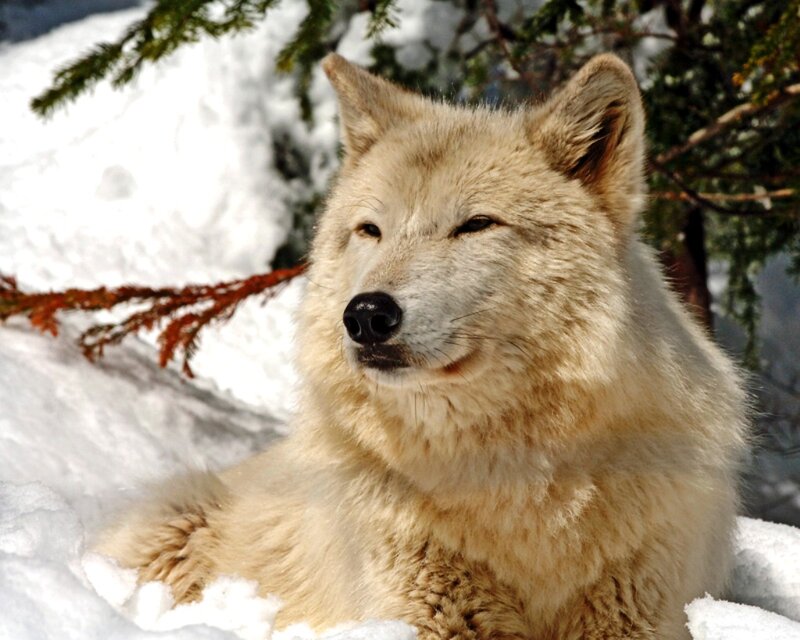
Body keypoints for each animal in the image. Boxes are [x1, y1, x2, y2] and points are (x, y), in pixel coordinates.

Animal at [97, 53, 748, 639]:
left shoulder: (643, 606)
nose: (365, 315)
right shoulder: (421, 609)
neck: (510, 481)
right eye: (371, 231)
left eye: (475, 225)